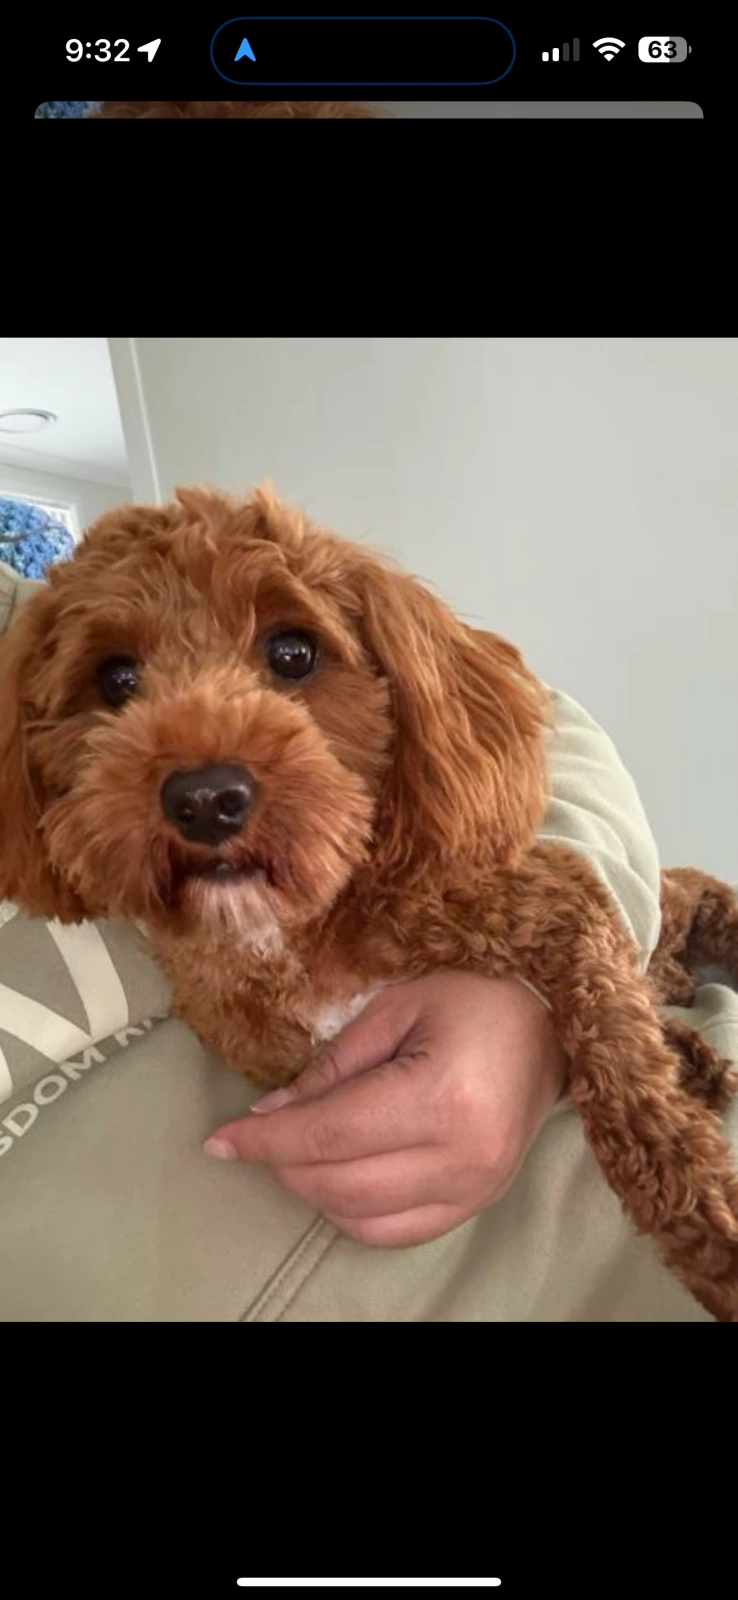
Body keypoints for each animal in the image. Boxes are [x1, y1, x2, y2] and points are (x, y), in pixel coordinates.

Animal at [1, 484, 737, 1319]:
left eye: (294, 652)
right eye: (116, 678)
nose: (206, 798)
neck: (285, 932)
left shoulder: (552, 901)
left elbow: (624, 1072)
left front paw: (710, 1227)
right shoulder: (269, 1049)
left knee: (689, 904)